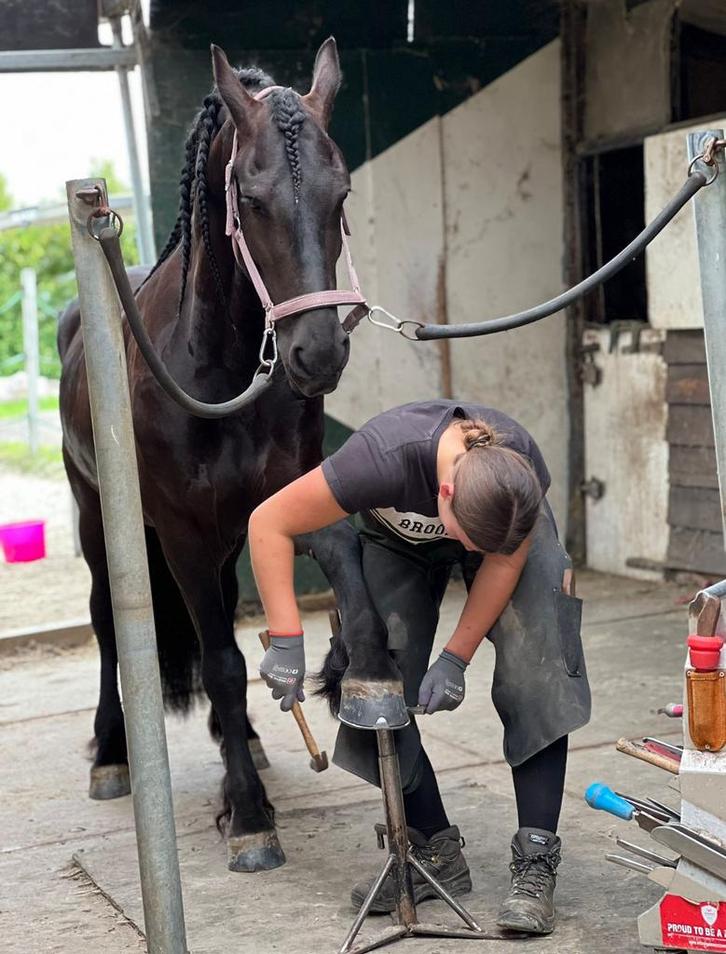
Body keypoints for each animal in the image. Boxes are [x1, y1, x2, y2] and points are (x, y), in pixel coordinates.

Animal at [58, 39, 394, 873]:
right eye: (251, 194)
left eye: (341, 193)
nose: (317, 355)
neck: (219, 368)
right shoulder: (178, 532)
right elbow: (219, 663)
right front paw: (248, 817)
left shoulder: (282, 499)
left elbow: (344, 570)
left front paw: (360, 675)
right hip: (96, 521)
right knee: (110, 627)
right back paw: (113, 755)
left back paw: (239, 738)